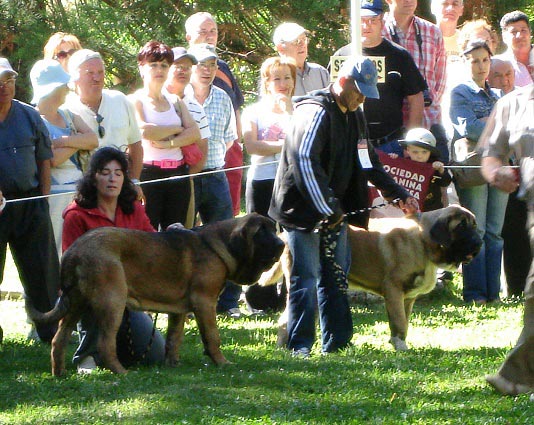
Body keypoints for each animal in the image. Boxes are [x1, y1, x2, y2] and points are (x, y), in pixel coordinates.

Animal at [27, 214, 286, 372]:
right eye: (261, 233)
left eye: (273, 230)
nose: (282, 244)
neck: (218, 245)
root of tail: (74, 251)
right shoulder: (205, 303)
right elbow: (213, 337)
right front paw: (222, 362)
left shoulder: (179, 311)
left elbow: (174, 339)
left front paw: (172, 365)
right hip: (112, 303)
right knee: (105, 344)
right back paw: (121, 372)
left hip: (76, 304)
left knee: (58, 340)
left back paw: (59, 373)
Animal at [258, 205, 484, 352]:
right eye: (461, 226)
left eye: (474, 225)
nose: (479, 243)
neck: (423, 240)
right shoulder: (393, 291)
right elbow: (399, 322)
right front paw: (400, 347)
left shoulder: (408, 298)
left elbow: (404, 322)